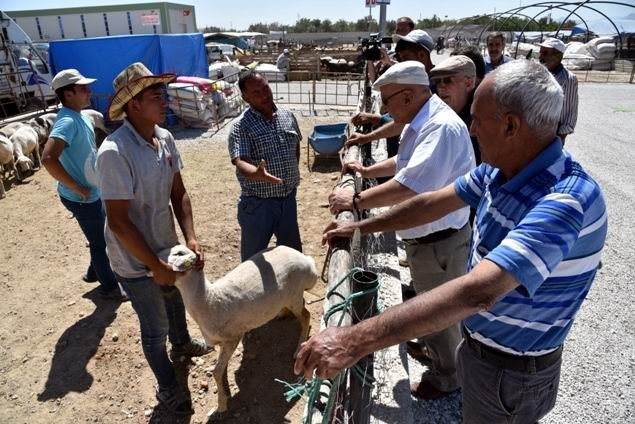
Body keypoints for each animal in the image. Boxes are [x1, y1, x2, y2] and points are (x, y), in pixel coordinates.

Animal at [166, 245, 318, 414]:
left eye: (179, 253)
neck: (209, 300)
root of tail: (308, 262)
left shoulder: (234, 337)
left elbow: (216, 372)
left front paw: (221, 405)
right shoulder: (222, 342)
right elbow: (221, 370)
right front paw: (225, 393)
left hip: (294, 296)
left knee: (306, 316)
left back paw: (298, 350)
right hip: (291, 297)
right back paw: (282, 313)